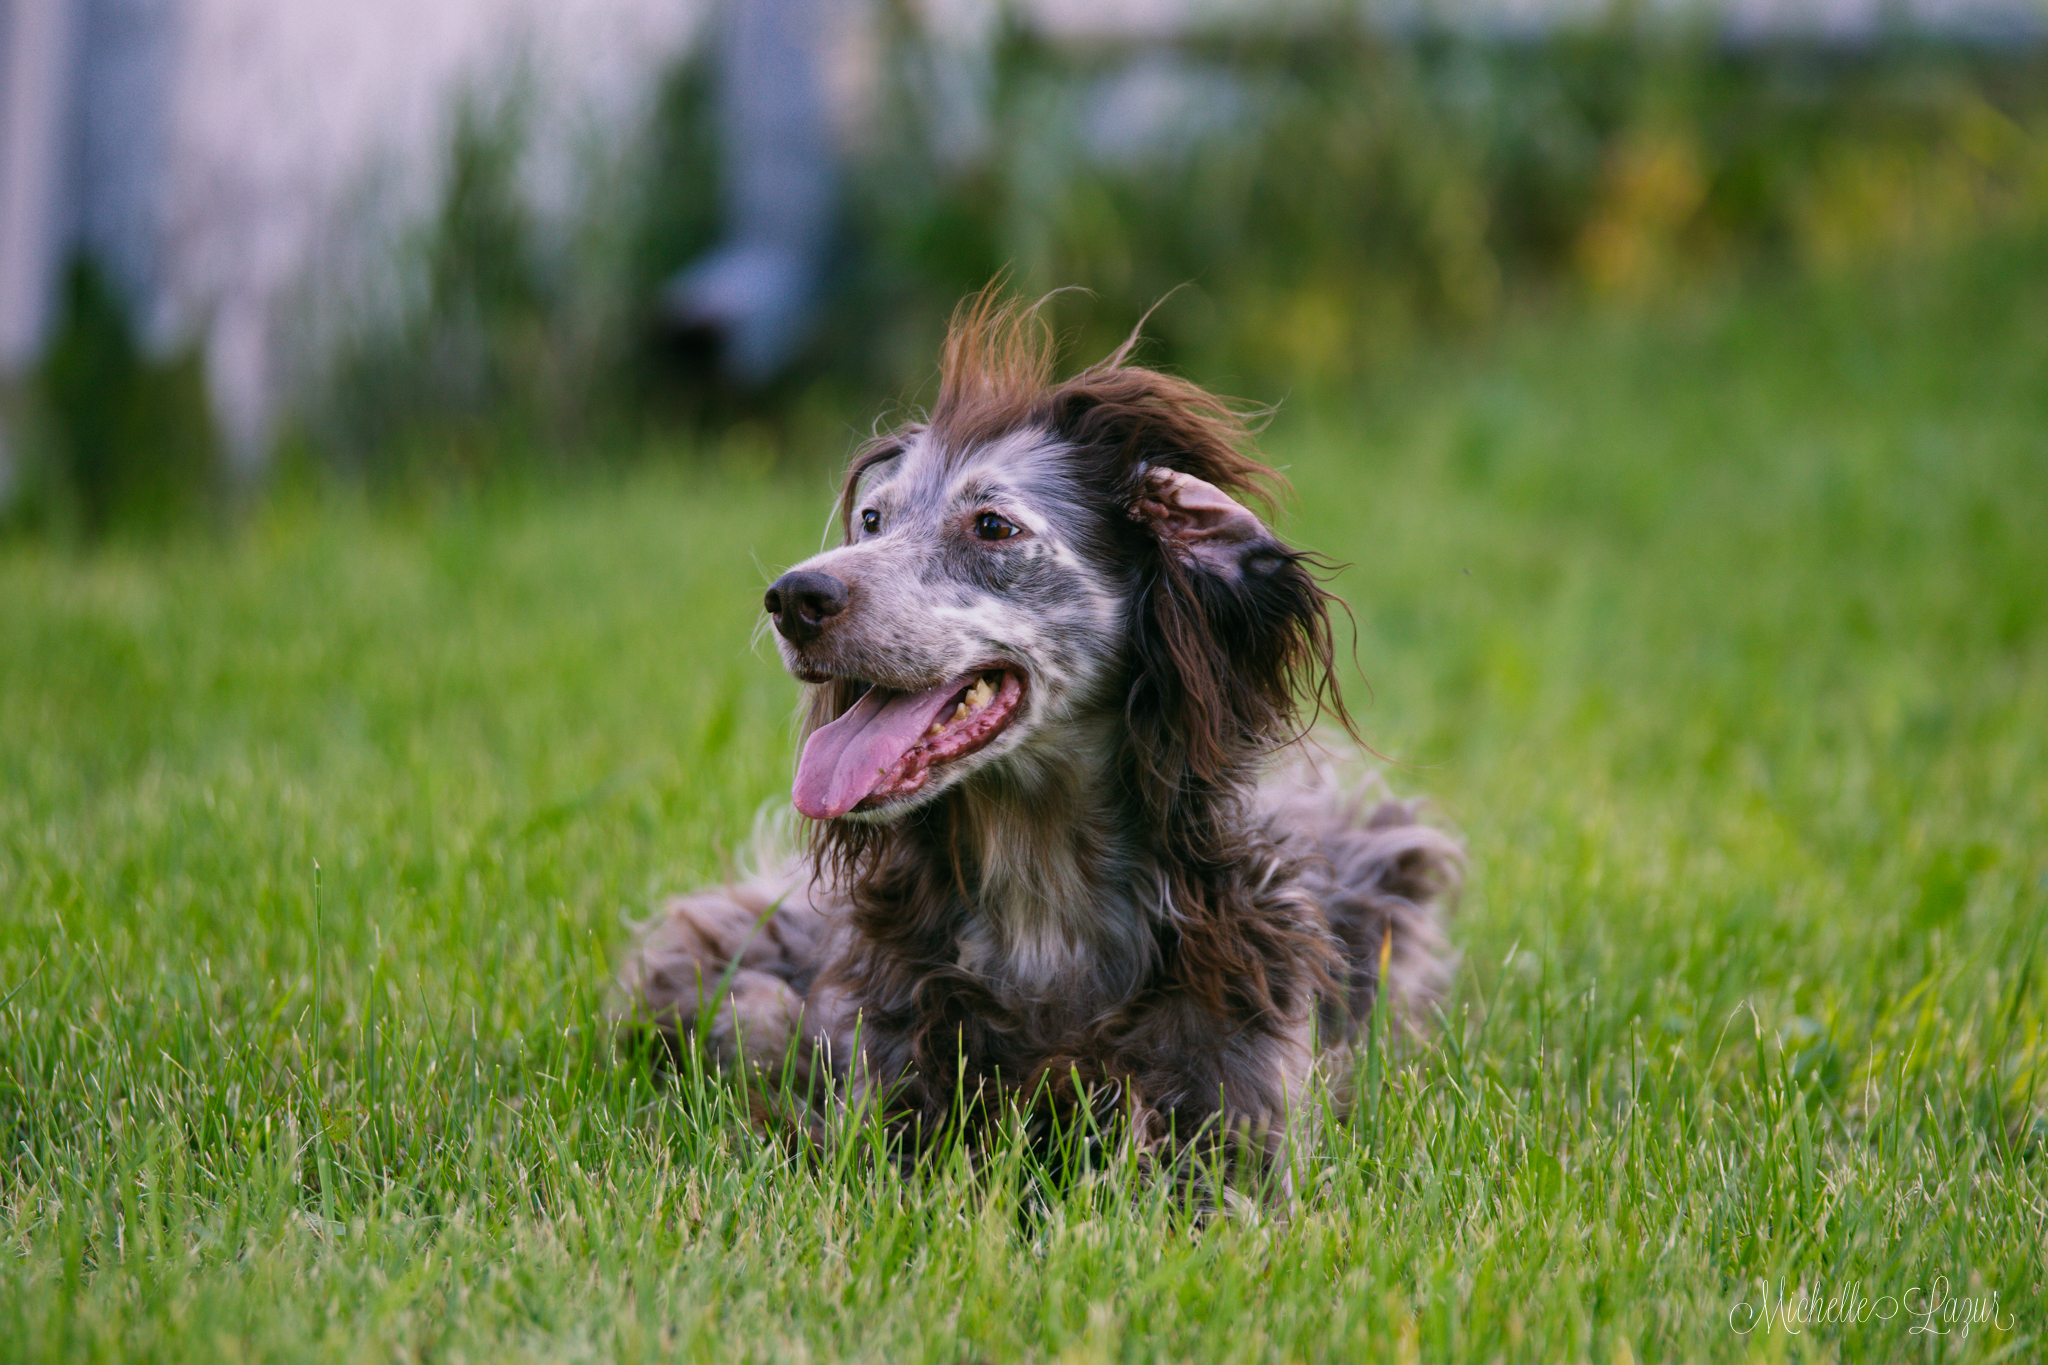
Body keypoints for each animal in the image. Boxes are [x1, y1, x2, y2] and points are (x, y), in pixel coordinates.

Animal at [614, 294, 1466, 1170]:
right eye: (872, 519)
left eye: (993, 526)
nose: (793, 598)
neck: (1045, 907)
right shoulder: (886, 1108)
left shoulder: (1238, 1124)